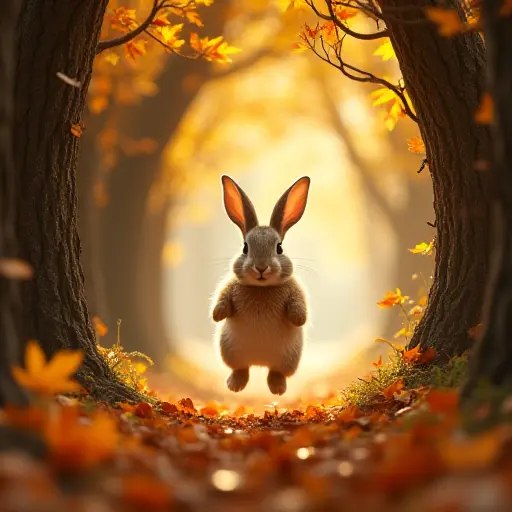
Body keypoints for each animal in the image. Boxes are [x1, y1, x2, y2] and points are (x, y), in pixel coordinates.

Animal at [211, 174, 310, 394]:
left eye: (279, 248)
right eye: (245, 248)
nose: (261, 268)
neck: (262, 288)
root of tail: (259, 362)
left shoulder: (295, 290)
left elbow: (299, 305)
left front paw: (298, 319)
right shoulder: (229, 287)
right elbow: (222, 297)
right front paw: (217, 315)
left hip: (288, 358)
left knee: (276, 371)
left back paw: (277, 388)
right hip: (230, 349)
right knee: (241, 368)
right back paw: (235, 385)